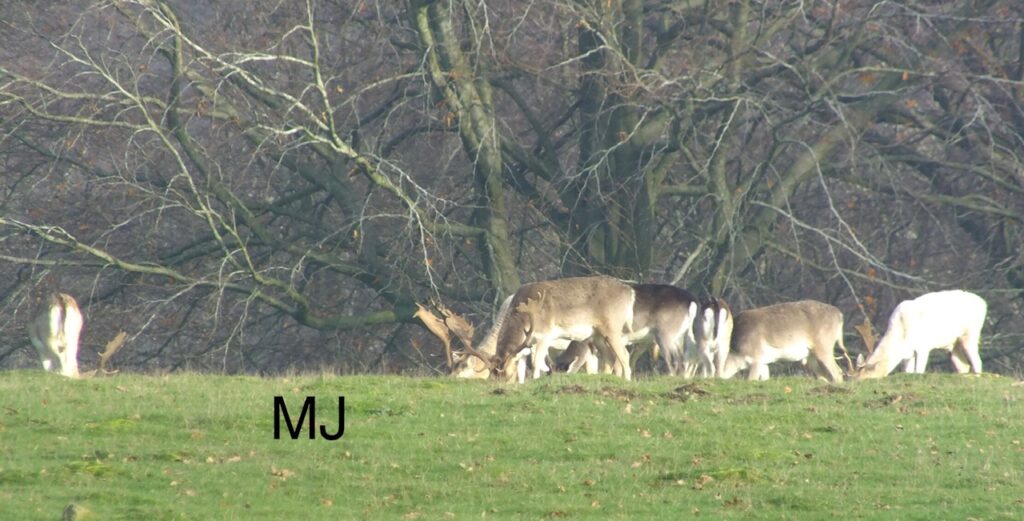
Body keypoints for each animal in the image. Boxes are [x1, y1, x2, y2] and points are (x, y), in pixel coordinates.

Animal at [719, 300, 848, 382]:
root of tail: (840, 315)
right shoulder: (764, 363)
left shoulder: (756, 358)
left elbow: (751, 380)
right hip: (811, 356)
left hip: (824, 345)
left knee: (837, 372)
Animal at [852, 290, 986, 380]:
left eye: (865, 378)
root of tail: (984, 303)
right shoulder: (908, 354)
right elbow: (908, 372)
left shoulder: (923, 347)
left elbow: (919, 371)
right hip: (953, 345)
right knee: (963, 365)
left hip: (970, 333)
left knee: (977, 361)